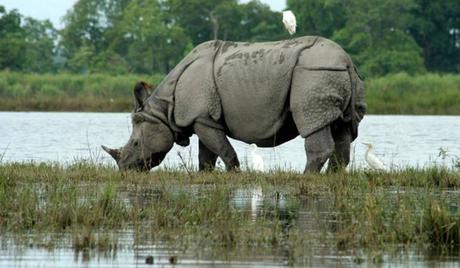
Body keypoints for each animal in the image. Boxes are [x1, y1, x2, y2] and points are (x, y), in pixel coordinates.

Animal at [101, 35, 366, 172]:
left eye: (136, 143)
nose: (125, 169)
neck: (163, 110)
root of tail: (346, 61)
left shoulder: (201, 117)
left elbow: (224, 150)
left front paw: (234, 174)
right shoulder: (204, 119)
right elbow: (206, 155)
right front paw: (205, 176)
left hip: (313, 74)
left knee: (311, 121)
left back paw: (306, 178)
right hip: (329, 74)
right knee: (341, 129)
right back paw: (333, 178)